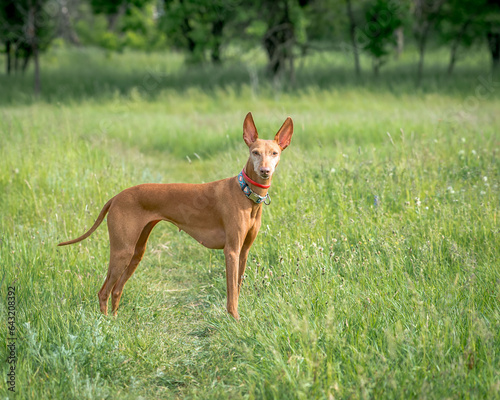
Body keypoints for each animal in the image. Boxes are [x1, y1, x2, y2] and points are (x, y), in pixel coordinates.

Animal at [58, 112, 292, 318]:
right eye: (255, 152)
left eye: (274, 153)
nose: (265, 171)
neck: (246, 194)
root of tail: (116, 197)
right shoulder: (231, 251)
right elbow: (231, 295)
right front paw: (235, 320)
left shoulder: (243, 252)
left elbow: (238, 288)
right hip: (122, 251)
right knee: (104, 291)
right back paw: (106, 325)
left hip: (136, 252)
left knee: (116, 290)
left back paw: (115, 321)